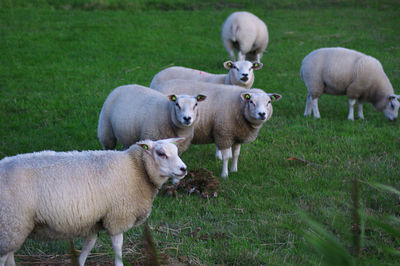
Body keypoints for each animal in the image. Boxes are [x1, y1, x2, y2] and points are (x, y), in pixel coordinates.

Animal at [0, 137, 188, 266]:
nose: (183, 169)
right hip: (11, 221)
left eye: (177, 152)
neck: (136, 170)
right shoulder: (117, 216)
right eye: (161, 154)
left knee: (9, 255)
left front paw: (79, 262)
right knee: (4, 256)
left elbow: (88, 246)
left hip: (14, 227)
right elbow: (118, 246)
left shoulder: (94, 220)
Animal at [151, 80, 282, 178]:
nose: (262, 114)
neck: (239, 107)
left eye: (269, 102)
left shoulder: (237, 135)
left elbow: (236, 154)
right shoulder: (224, 133)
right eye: (251, 102)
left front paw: (234, 170)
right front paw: (225, 174)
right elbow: (226, 157)